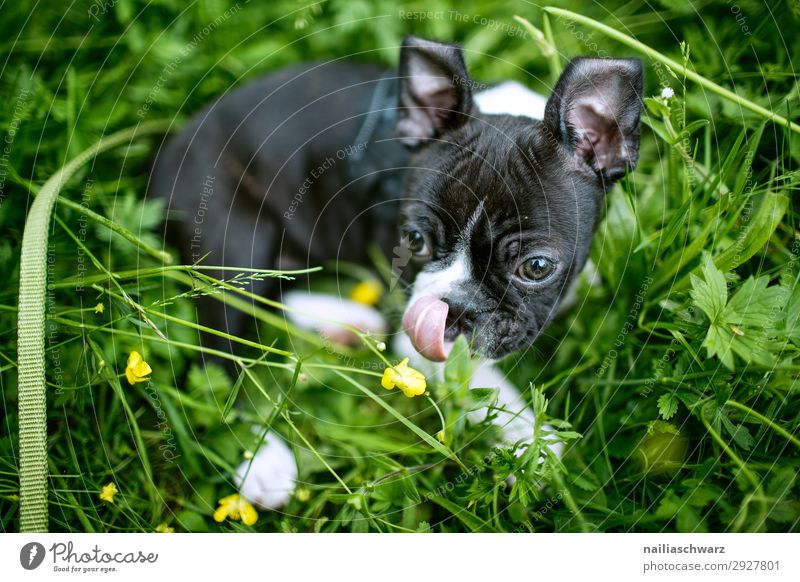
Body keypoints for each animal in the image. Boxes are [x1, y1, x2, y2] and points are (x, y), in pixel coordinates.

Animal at [150, 36, 644, 512]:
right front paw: (534, 449)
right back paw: (263, 458)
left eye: (537, 267)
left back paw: (347, 325)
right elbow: (488, 387)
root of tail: (169, 149)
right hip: (232, 237)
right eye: (414, 240)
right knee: (219, 357)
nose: (452, 312)